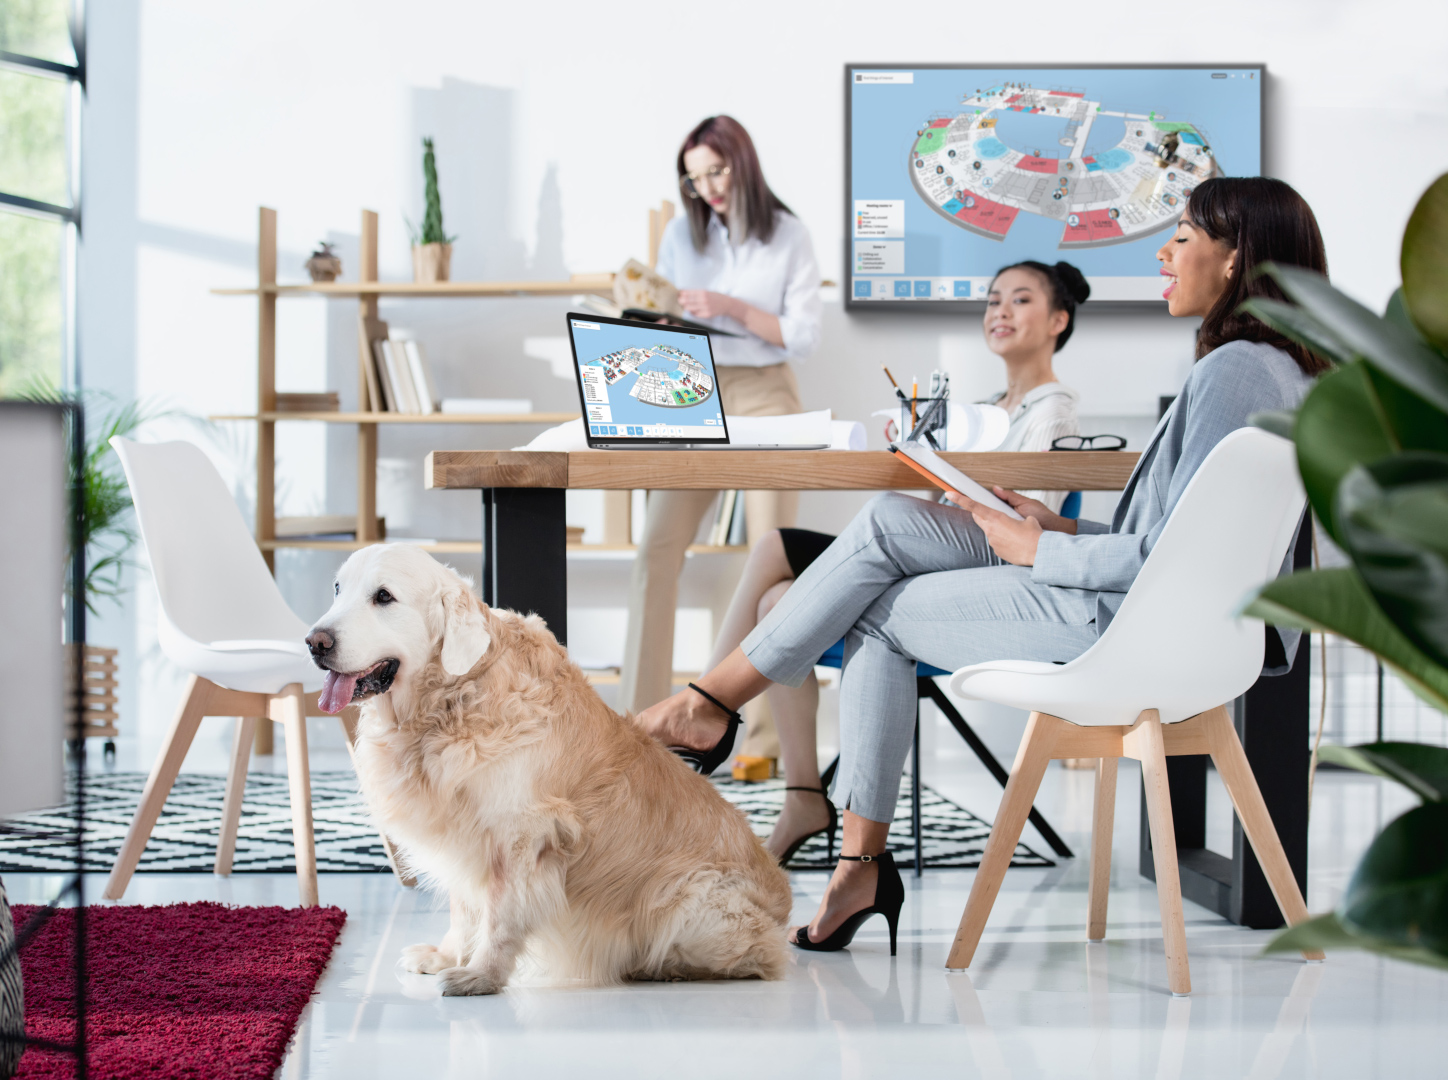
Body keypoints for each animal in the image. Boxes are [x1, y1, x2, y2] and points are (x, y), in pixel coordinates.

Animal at [308, 547, 793, 990]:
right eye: (337, 589)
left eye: (383, 596)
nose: (315, 642)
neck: (451, 699)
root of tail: (784, 905)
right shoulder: (462, 836)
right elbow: (465, 908)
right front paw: (447, 956)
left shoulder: (522, 834)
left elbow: (500, 916)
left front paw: (482, 974)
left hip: (687, 895)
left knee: (755, 958)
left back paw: (657, 966)